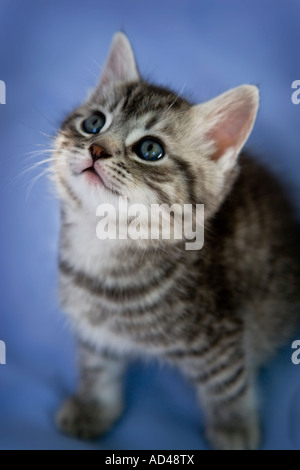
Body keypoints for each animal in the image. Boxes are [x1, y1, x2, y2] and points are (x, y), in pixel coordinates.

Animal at [52, 31, 300, 450]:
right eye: (93, 123)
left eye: (150, 150)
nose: (96, 148)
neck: (104, 246)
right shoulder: (94, 325)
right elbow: (97, 367)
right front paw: (92, 409)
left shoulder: (221, 338)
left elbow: (227, 386)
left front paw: (233, 429)